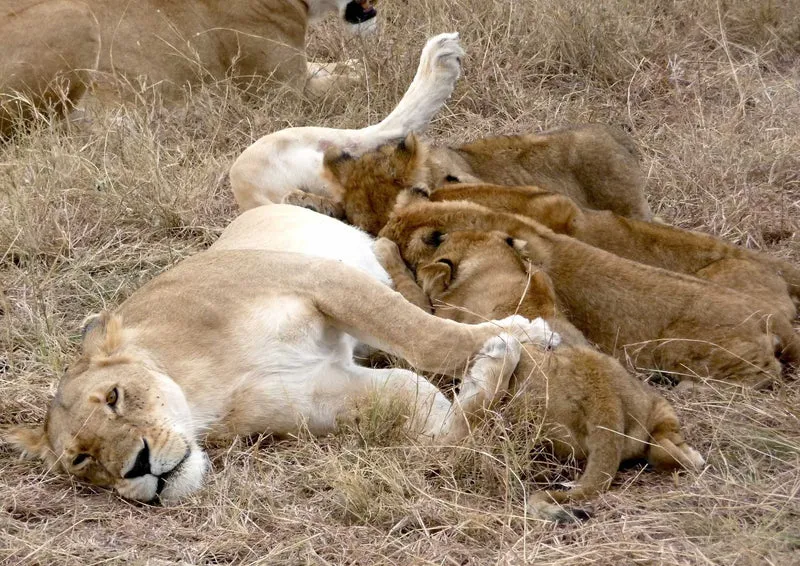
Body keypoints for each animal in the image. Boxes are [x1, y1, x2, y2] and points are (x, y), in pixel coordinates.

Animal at [7, 204, 560, 503]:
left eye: (115, 397)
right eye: (81, 460)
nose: (137, 468)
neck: (202, 391)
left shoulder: (316, 278)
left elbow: (425, 336)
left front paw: (524, 332)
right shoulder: (322, 392)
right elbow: (449, 434)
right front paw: (493, 365)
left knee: (392, 265)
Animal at [374, 232, 704, 522]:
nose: (434, 235)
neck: (494, 265)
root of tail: (606, 404)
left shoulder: (438, 322)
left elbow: (410, 295)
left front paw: (385, 249)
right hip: (657, 407)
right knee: (667, 453)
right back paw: (694, 457)